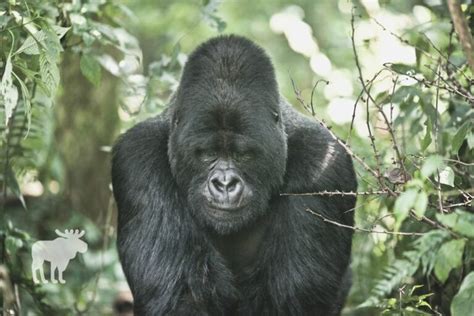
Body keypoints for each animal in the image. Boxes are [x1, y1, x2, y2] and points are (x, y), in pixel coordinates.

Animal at [111, 35, 356, 316]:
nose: (225, 183)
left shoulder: (324, 163)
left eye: (242, 155)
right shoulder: (137, 157)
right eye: (208, 153)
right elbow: (180, 299)